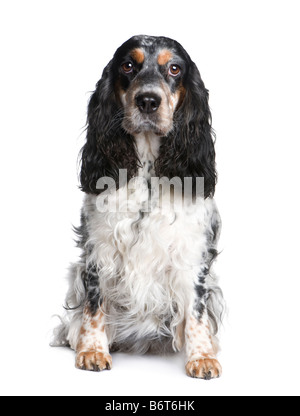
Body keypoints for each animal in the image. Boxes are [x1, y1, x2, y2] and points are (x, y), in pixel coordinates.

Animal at [52, 35, 224, 380]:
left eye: (174, 68)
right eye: (128, 65)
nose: (148, 100)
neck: (147, 170)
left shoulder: (192, 251)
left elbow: (196, 309)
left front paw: (201, 356)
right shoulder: (98, 248)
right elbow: (94, 305)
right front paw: (93, 350)